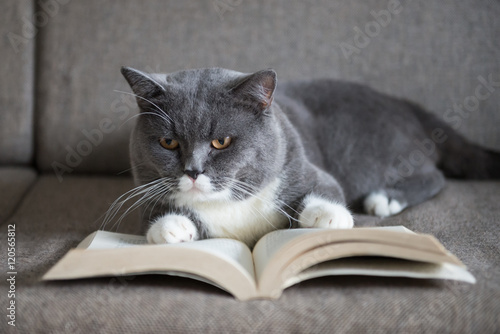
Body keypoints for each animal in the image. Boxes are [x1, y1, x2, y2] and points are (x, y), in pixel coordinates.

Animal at [119, 66, 498, 247]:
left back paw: (385, 198)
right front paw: (170, 227)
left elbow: (324, 188)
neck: (231, 205)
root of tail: (403, 103)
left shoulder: (302, 164)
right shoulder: (144, 189)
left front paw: (327, 217)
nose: (193, 170)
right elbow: (154, 213)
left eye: (221, 141)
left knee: (435, 175)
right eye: (168, 142)